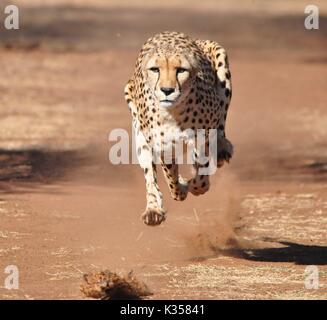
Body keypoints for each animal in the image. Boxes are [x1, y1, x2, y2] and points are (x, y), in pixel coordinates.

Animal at [124, 31, 234, 226]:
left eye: (181, 70)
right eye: (155, 69)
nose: (167, 90)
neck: (174, 112)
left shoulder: (203, 138)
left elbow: (201, 177)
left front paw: (194, 186)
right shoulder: (163, 148)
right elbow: (170, 177)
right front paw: (181, 189)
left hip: (220, 60)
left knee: (221, 121)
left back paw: (222, 149)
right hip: (139, 131)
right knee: (150, 175)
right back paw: (153, 209)